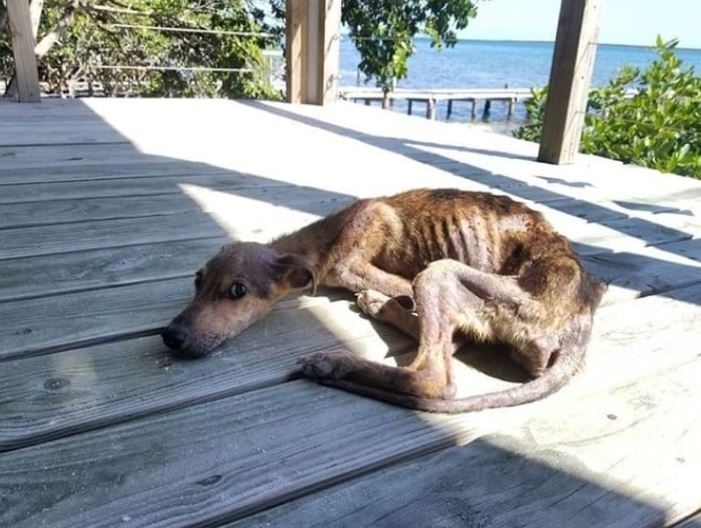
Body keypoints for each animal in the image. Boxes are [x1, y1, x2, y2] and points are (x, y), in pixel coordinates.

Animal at [161, 188, 604, 414]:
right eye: (197, 281)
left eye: (237, 290)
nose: (170, 335)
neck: (328, 234)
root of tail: (582, 315)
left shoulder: (351, 264)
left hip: (441, 272)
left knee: (435, 376)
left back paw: (340, 355)